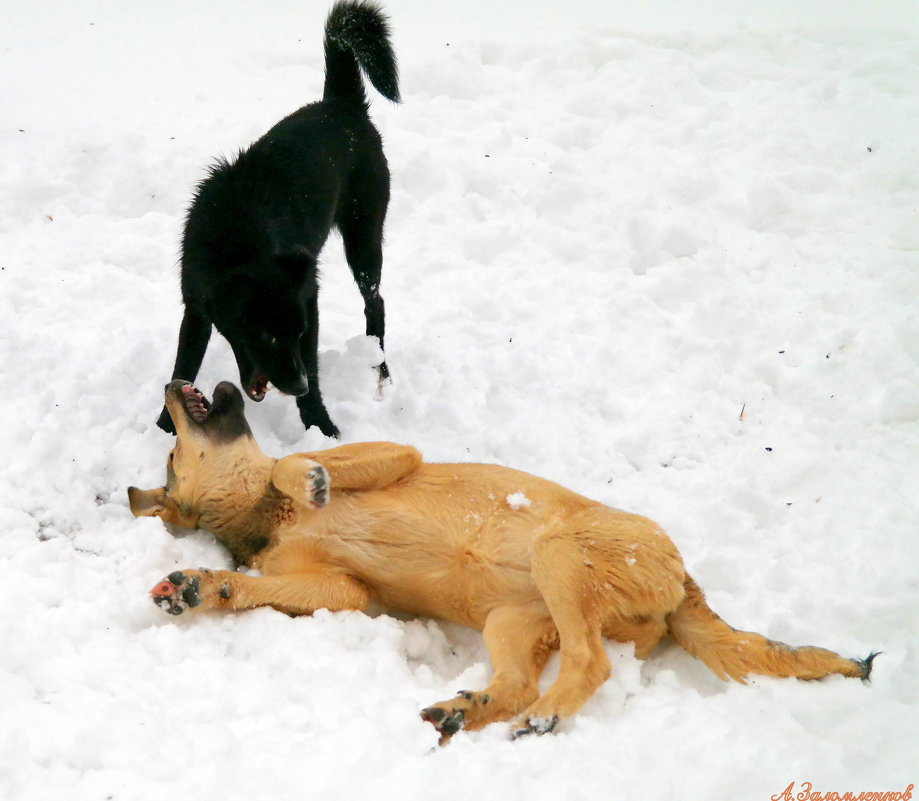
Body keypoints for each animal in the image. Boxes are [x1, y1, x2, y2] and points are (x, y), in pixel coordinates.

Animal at [131, 382, 876, 744]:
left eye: (168, 453)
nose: (172, 378)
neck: (261, 519)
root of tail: (680, 582)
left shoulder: (393, 456)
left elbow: (301, 463)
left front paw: (307, 478)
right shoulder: (341, 590)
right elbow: (250, 584)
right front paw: (199, 586)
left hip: (557, 556)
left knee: (591, 664)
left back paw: (535, 718)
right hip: (512, 624)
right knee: (534, 677)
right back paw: (473, 709)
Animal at [157, 1, 398, 438]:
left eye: (297, 332)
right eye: (266, 337)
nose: (296, 385)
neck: (238, 240)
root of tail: (342, 102)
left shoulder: (310, 300)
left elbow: (315, 369)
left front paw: (319, 423)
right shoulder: (195, 306)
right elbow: (184, 364)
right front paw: (166, 426)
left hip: (364, 238)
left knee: (376, 303)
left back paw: (380, 370)